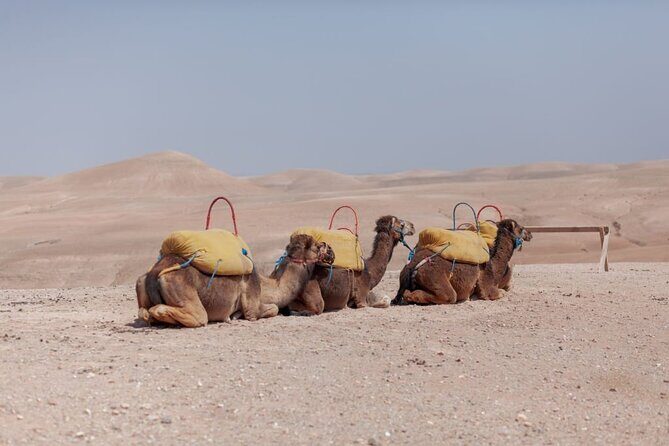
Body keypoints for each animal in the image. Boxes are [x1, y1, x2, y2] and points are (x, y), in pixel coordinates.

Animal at [135, 234, 335, 327]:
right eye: (317, 246)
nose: (331, 251)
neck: (267, 286)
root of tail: (155, 273)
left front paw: (235, 314)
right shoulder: (253, 307)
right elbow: (273, 308)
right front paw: (235, 315)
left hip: (140, 282)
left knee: (144, 312)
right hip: (184, 292)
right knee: (189, 314)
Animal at [392, 219, 532, 305]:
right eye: (521, 228)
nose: (530, 234)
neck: (494, 264)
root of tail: (412, 266)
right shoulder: (486, 285)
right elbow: (498, 292)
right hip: (434, 276)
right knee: (448, 295)